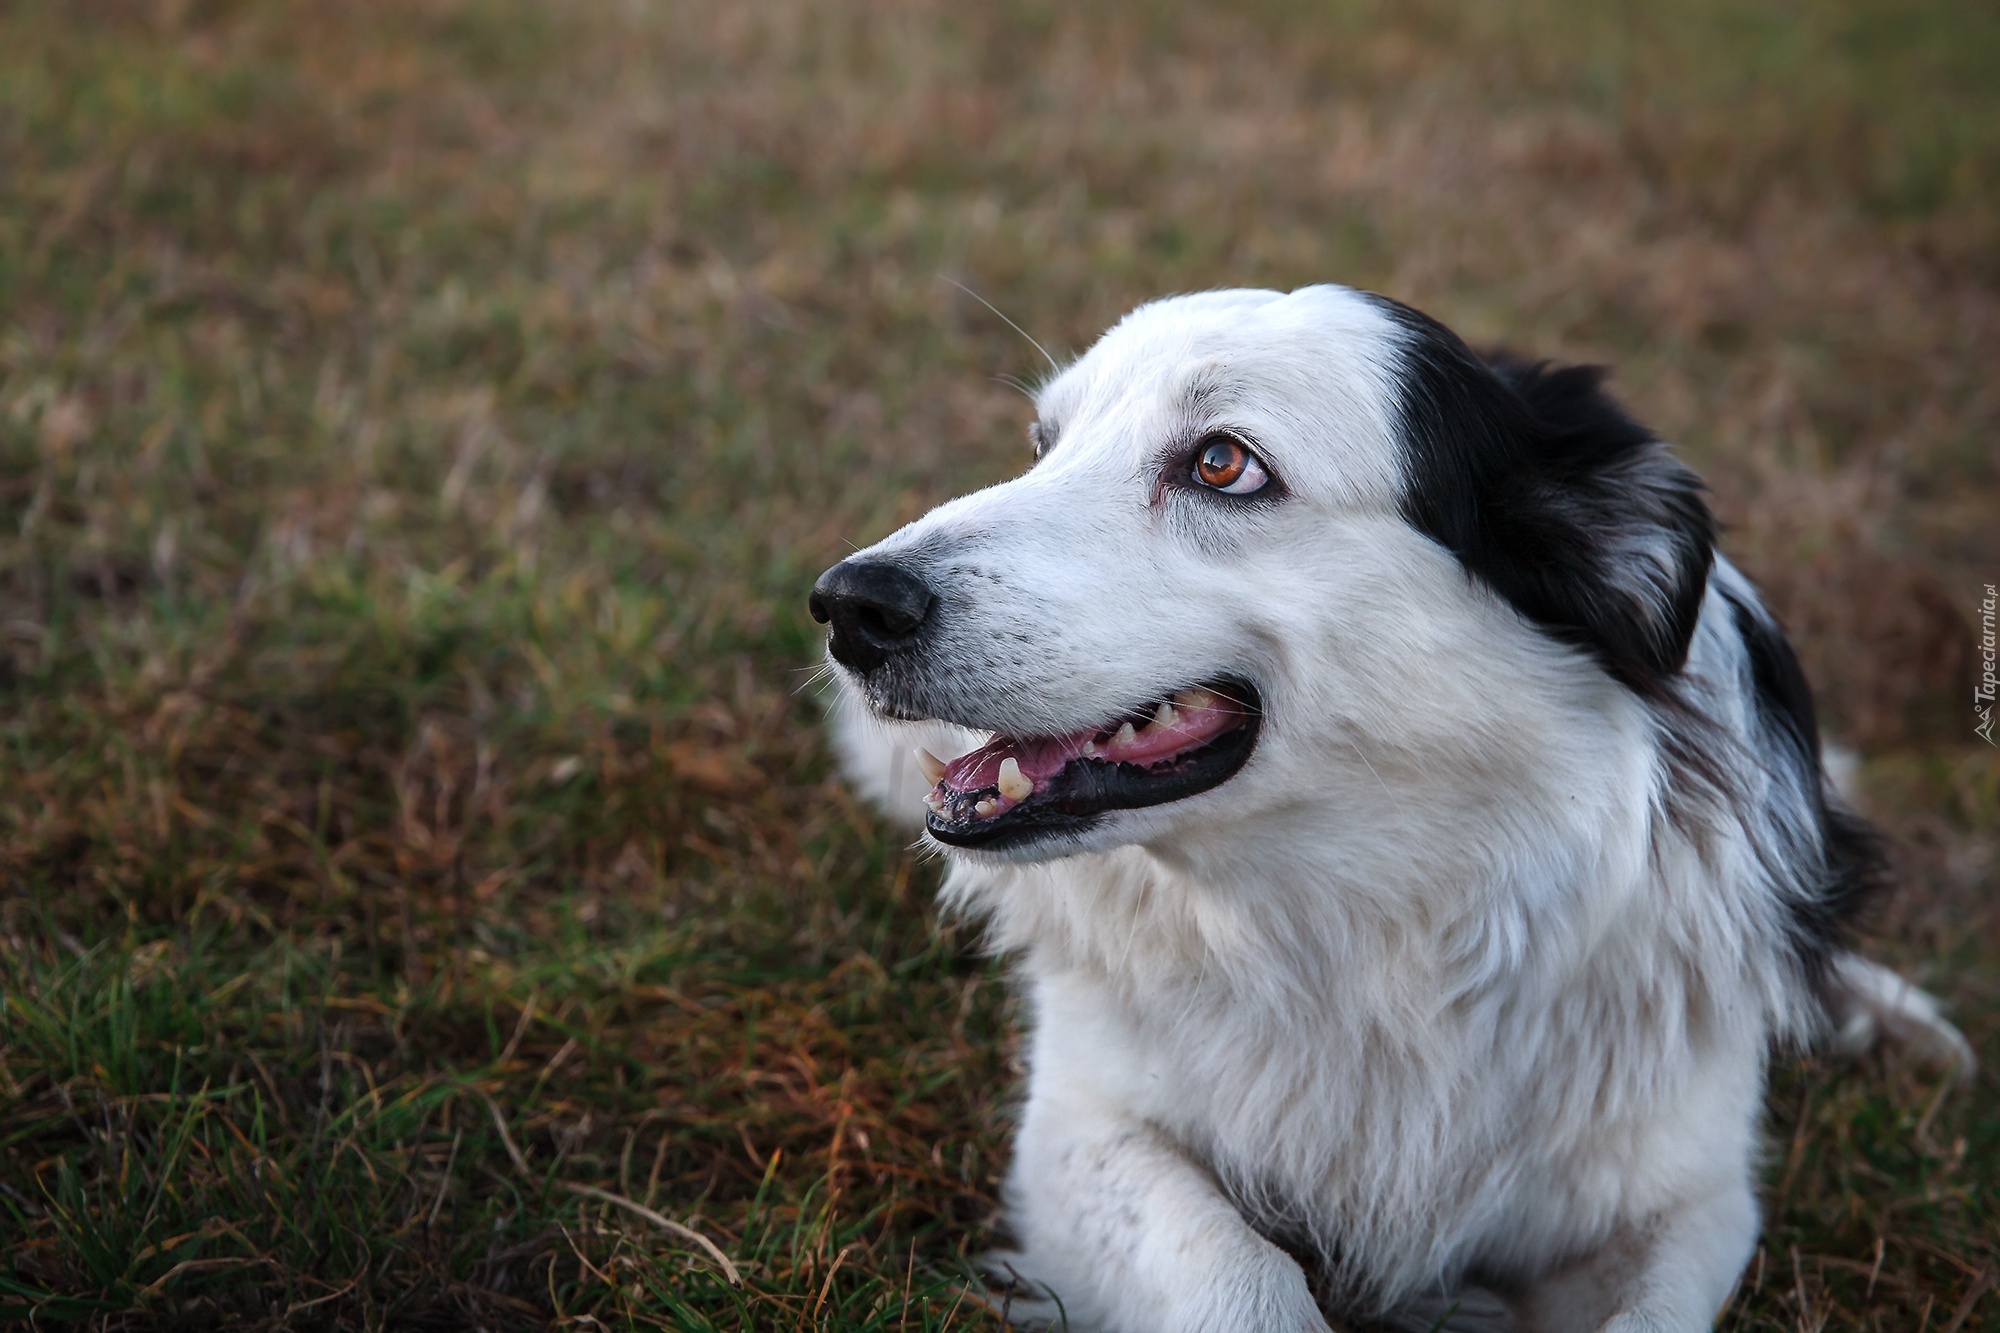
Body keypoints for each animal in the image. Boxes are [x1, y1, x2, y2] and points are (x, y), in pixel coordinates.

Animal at [800, 286, 1968, 1320]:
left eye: (1223, 463)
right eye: (1043, 442)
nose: (849, 605)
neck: (1374, 925)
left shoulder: (1686, 1196)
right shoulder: (1082, 1125)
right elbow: (1242, 1277)